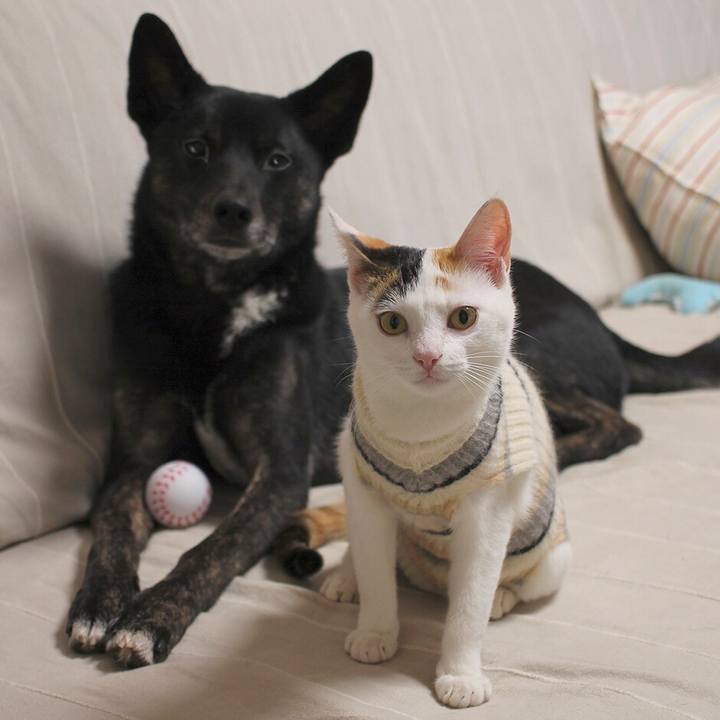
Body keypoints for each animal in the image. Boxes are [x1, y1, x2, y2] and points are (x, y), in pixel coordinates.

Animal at [66, 13, 371, 668]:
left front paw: (152, 616)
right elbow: (112, 528)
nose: (233, 210)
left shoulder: (280, 473)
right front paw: (99, 603)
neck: (209, 309)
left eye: (279, 160)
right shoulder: (133, 461)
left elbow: (214, 548)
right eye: (195, 148)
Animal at [321, 199, 571, 708]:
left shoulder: (489, 509)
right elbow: (375, 568)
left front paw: (460, 674)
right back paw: (345, 576)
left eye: (463, 318)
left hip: (554, 559)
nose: (428, 357)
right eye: (392, 323)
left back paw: (502, 597)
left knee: (513, 584)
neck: (422, 426)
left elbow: (470, 600)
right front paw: (375, 632)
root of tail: (431, 582)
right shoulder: (362, 483)